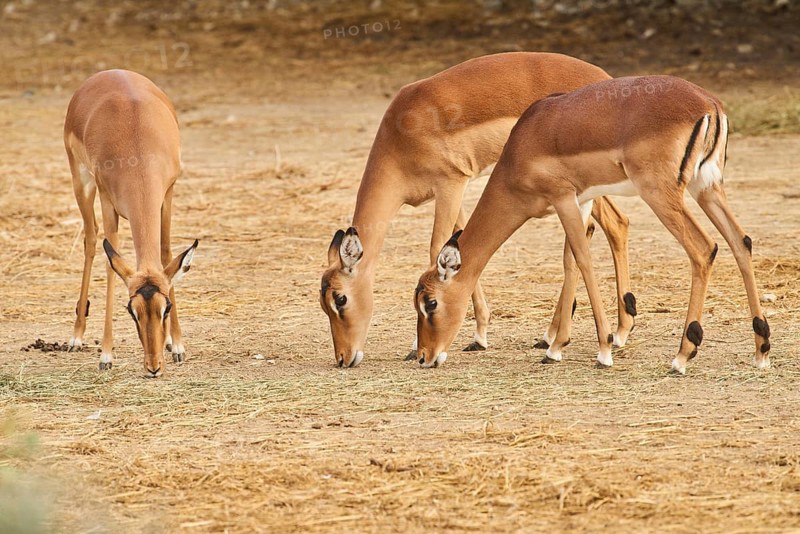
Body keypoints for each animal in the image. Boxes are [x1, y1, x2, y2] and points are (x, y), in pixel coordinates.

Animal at [64, 69, 198, 377]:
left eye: (166, 307)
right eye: (131, 310)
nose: (153, 367)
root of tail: (111, 72)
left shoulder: (167, 195)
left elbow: (166, 254)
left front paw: (178, 345)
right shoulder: (107, 201)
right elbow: (110, 265)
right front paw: (106, 355)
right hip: (81, 182)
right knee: (91, 241)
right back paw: (76, 336)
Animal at [321, 52, 637, 368]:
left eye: (340, 299)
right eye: (324, 303)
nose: (343, 358)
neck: (404, 130)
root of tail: (602, 77)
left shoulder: (450, 184)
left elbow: (437, 247)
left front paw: (415, 347)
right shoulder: (452, 191)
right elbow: (459, 243)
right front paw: (479, 336)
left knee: (612, 225)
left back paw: (611, 335)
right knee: (610, 225)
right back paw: (567, 336)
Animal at [415, 75, 771, 374]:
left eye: (431, 302)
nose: (423, 356)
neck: (523, 145)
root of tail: (709, 104)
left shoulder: (562, 198)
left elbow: (583, 261)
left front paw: (604, 350)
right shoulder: (582, 201)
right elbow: (570, 261)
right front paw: (556, 348)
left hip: (661, 193)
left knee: (704, 248)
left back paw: (682, 356)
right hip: (707, 187)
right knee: (741, 241)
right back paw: (761, 349)